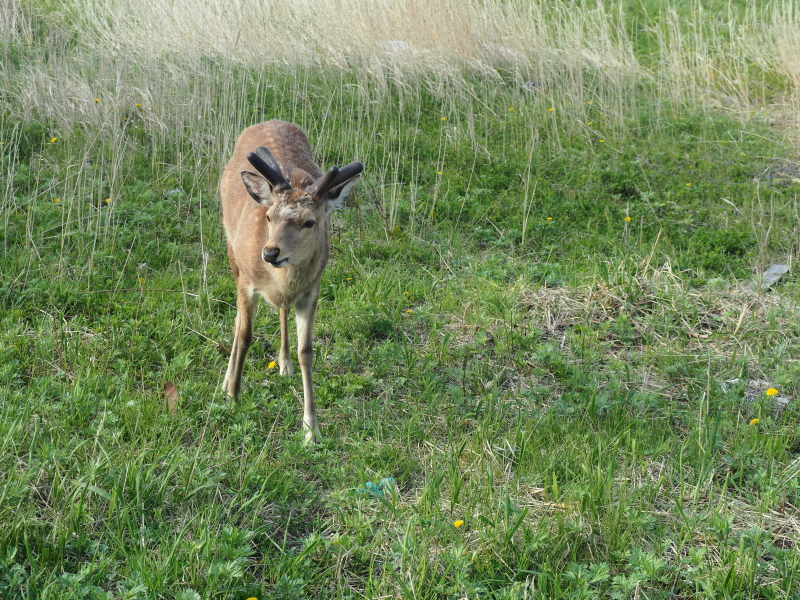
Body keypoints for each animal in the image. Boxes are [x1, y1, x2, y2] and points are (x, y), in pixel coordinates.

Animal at [220, 120, 363, 444]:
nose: (271, 252)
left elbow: (306, 351)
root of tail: (268, 121)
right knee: (236, 320)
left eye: (310, 222)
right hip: (231, 253)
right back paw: (225, 379)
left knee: (281, 309)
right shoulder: (247, 283)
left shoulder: (312, 289)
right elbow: (245, 333)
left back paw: (283, 364)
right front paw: (234, 395)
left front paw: (311, 428)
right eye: (269, 217)